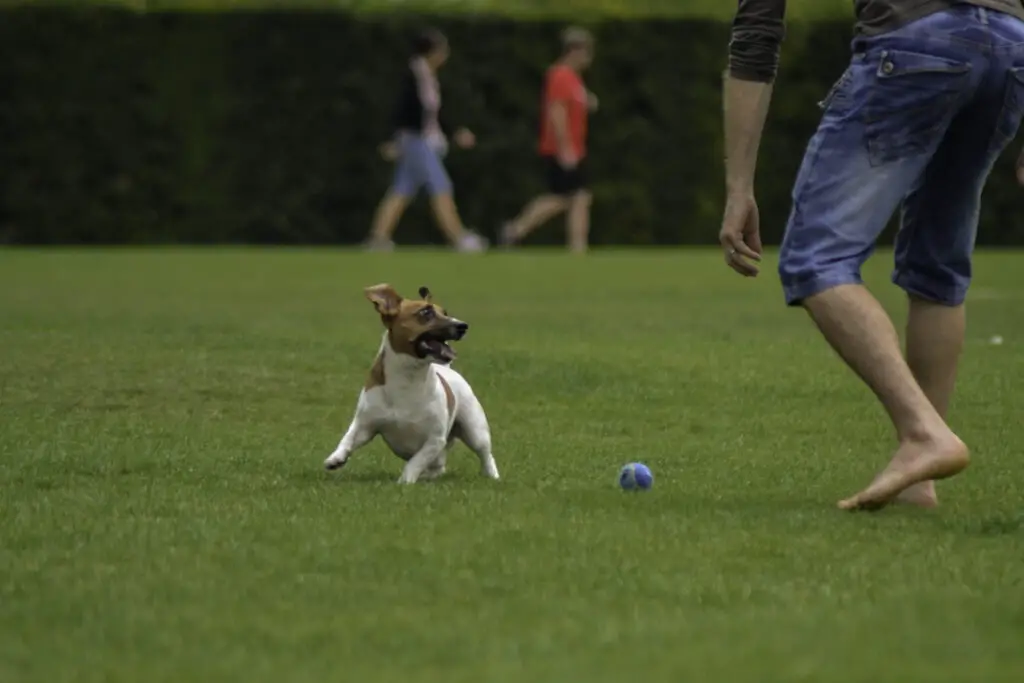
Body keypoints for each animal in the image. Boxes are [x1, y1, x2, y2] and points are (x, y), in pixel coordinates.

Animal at [323, 282, 499, 485]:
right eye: (426, 312)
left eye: (445, 312)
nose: (463, 326)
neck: (408, 378)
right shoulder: (365, 424)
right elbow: (349, 438)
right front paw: (336, 458)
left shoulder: (434, 440)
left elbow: (415, 462)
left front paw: (404, 482)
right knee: (438, 467)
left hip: (475, 429)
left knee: (485, 454)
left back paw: (492, 476)